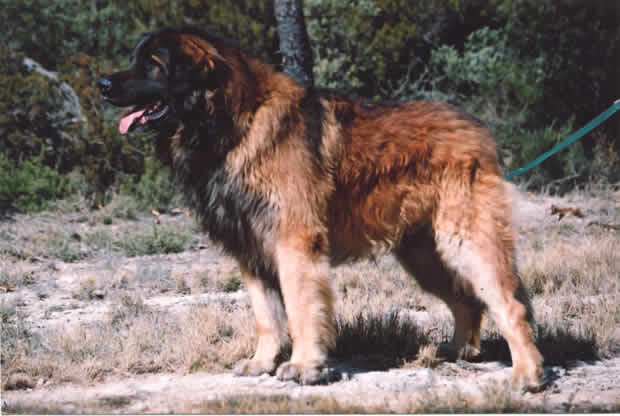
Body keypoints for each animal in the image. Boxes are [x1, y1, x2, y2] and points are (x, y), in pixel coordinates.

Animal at [98, 26, 544, 390]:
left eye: (152, 64)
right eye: (135, 58)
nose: (102, 83)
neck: (232, 124)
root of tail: (477, 129)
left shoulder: (294, 243)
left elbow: (299, 310)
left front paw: (304, 366)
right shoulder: (251, 250)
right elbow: (266, 316)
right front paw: (262, 362)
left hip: (466, 240)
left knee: (509, 303)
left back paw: (527, 374)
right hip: (423, 253)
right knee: (466, 300)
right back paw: (456, 353)